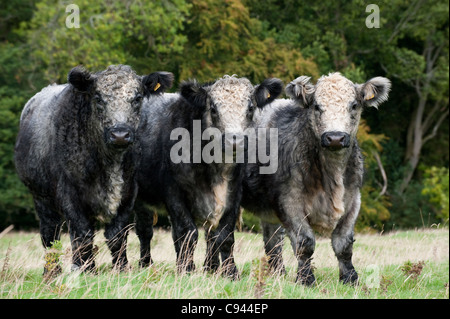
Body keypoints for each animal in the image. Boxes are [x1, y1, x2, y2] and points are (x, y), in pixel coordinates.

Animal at [14, 65, 172, 276]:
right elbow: (82, 234)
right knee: (50, 233)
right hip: (40, 196)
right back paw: (52, 271)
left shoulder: (128, 193)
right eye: (98, 98)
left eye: (137, 98)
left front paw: (121, 267)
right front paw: (84, 269)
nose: (120, 134)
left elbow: (116, 235)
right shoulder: (70, 194)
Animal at [134, 75, 282, 280]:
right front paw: (186, 270)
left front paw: (230, 272)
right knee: (145, 230)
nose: (234, 140)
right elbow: (187, 232)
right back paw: (145, 264)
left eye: (250, 108)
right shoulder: (174, 193)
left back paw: (210, 267)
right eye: (213, 109)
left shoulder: (233, 194)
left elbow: (225, 236)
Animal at [243, 74, 390, 286]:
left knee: (272, 240)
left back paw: (278, 274)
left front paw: (350, 279)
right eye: (317, 106)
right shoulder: (290, 202)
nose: (335, 137)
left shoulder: (353, 201)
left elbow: (344, 244)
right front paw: (305, 279)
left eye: (354, 105)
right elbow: (305, 243)